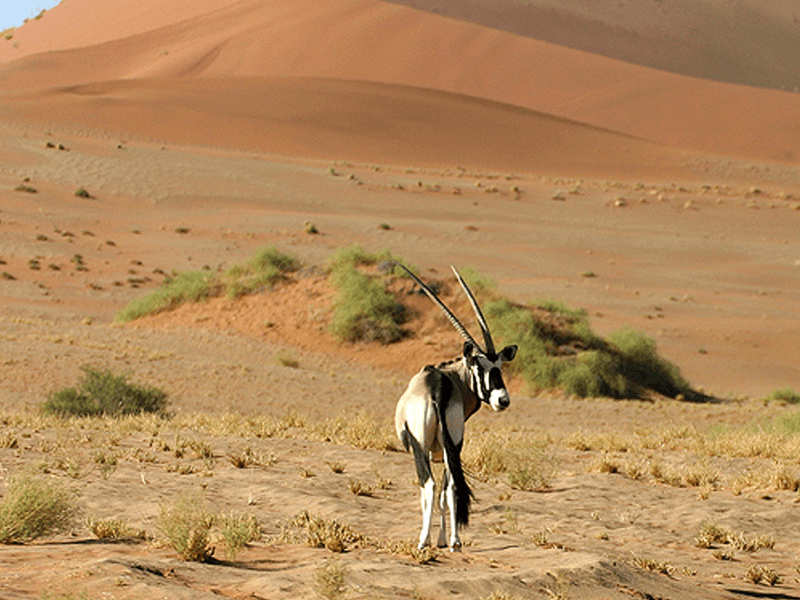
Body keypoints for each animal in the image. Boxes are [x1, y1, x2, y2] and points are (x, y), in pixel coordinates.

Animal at [396, 264, 520, 552]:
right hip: (452, 442)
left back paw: (423, 541)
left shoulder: (427, 449)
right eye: (481, 366)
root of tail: (438, 389)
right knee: (450, 487)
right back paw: (454, 541)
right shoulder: (447, 448)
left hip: (421, 446)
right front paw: (444, 540)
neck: (449, 377)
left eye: (498, 367)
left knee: (430, 485)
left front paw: (432, 539)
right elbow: (447, 491)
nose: (502, 400)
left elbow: (426, 493)